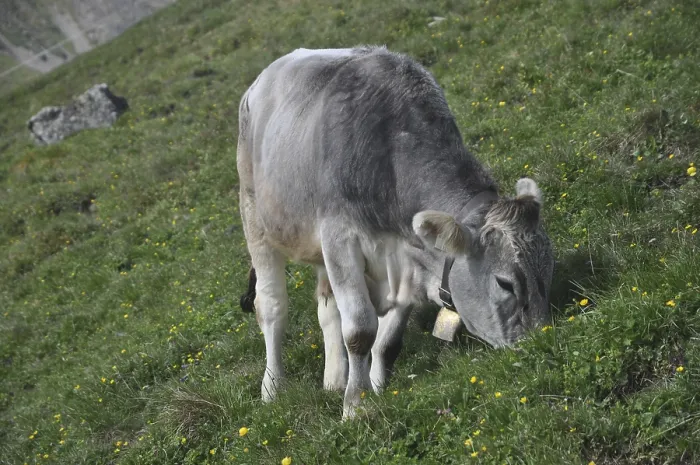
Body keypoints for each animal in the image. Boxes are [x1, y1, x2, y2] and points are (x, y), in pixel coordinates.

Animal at [236, 46, 554, 419]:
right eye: (505, 283)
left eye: (548, 268)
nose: (539, 340)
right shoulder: (339, 238)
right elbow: (361, 329)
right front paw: (354, 407)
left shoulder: (407, 257)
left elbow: (387, 340)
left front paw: (375, 388)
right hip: (255, 217)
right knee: (272, 307)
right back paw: (272, 388)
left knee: (328, 307)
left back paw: (333, 379)